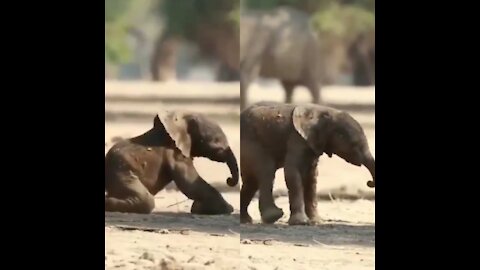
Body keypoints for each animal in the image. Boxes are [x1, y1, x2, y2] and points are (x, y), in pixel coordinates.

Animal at [106, 110, 239, 215]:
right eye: (217, 143)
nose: (229, 180)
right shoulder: (175, 154)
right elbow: (190, 182)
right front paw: (227, 209)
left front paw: (199, 208)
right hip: (122, 171)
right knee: (146, 200)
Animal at [240, 102, 376, 225]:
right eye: (354, 144)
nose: (369, 183)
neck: (325, 112)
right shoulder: (297, 138)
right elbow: (292, 170)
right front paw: (301, 222)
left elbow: (311, 177)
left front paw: (316, 222)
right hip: (252, 144)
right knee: (267, 172)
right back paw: (273, 217)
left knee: (252, 182)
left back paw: (246, 220)